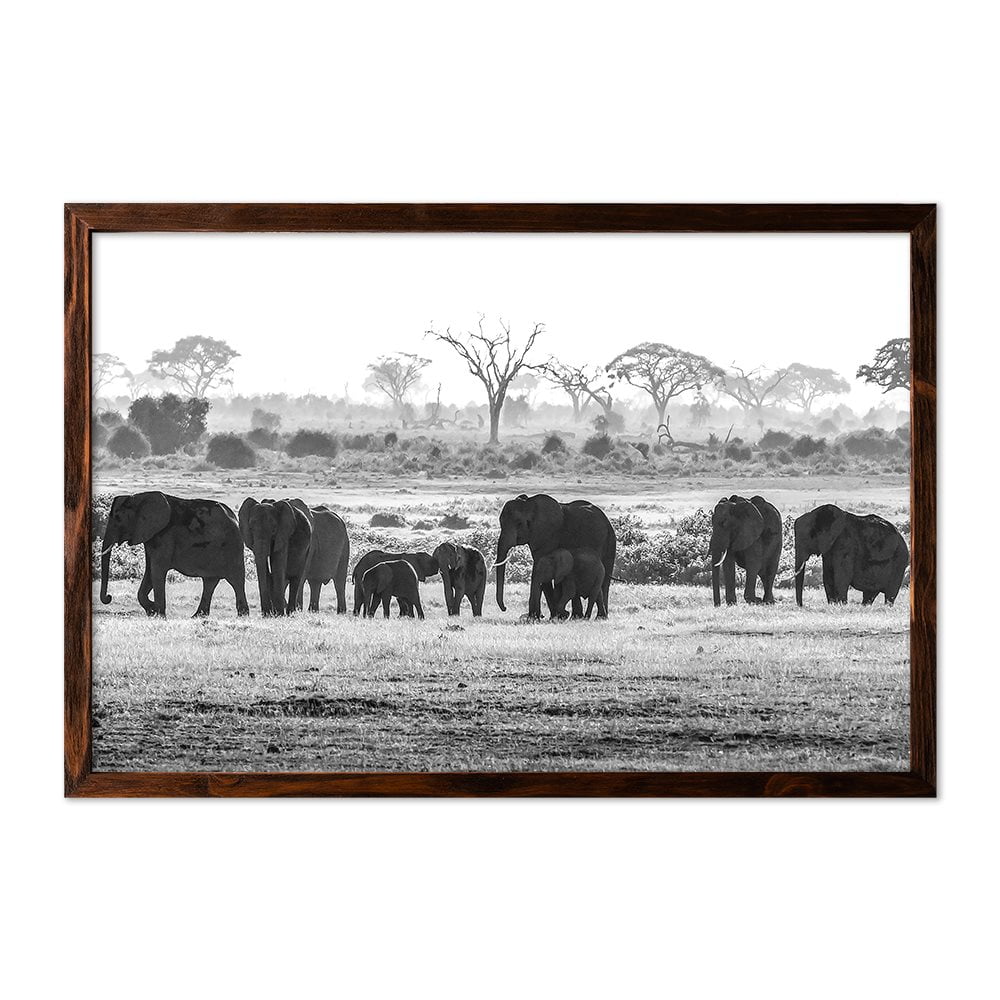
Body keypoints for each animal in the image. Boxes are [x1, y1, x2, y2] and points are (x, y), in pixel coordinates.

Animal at [99, 491, 249, 617]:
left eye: (118, 518)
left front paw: (159, 615)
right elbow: (150, 570)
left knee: (236, 581)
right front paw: (152, 610)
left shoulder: (164, 536)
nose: (109, 597)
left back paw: (242, 616)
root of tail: (234, 518)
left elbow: (157, 570)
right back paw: (197, 616)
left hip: (232, 547)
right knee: (210, 582)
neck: (138, 497)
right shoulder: (151, 536)